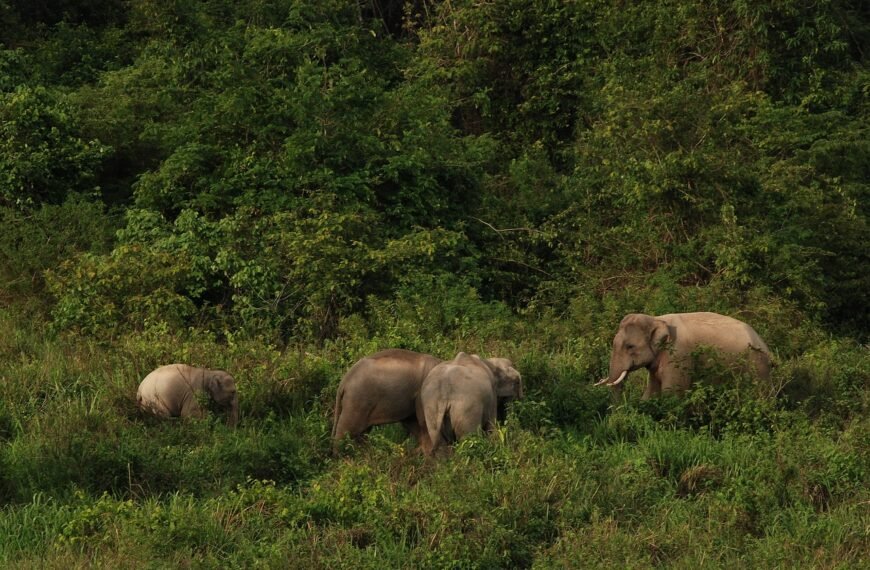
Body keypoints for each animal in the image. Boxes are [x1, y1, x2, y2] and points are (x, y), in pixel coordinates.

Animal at [596, 312, 771, 398]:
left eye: (630, 346)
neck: (656, 320)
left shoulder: (679, 354)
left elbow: (672, 393)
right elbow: (652, 390)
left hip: (758, 365)